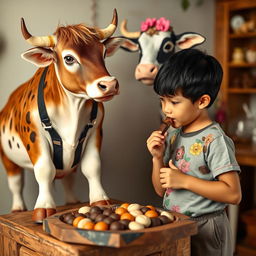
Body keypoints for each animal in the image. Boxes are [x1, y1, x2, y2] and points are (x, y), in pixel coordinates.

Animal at [0, 9, 124, 222]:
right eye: (69, 58)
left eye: (103, 52)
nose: (109, 85)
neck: (72, 107)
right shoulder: (35, 137)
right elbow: (44, 170)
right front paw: (43, 207)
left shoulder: (95, 132)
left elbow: (92, 167)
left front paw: (99, 199)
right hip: (7, 158)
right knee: (15, 183)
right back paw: (17, 208)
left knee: (69, 178)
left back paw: (72, 201)